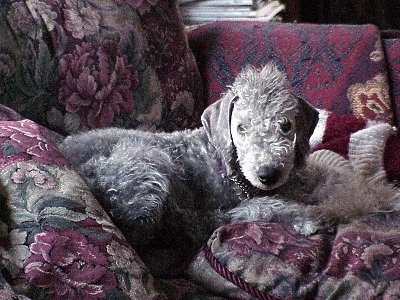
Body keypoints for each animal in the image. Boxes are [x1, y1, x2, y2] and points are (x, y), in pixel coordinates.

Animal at [58, 63, 396, 276]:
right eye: (241, 127)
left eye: (285, 125)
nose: (268, 173)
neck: (231, 169)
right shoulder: (223, 204)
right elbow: (266, 207)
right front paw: (314, 216)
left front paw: (382, 196)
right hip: (146, 164)